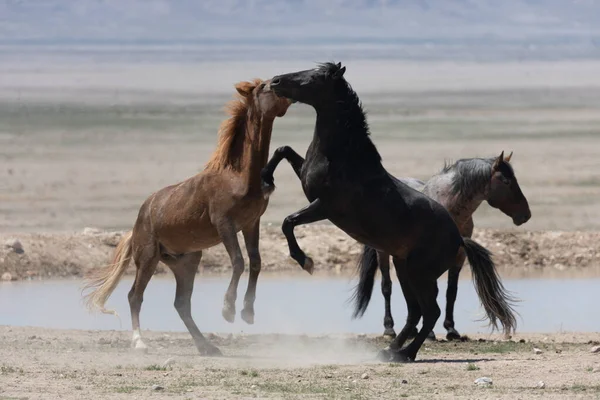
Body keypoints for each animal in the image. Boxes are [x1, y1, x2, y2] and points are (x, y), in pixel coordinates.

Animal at [82, 79, 292, 354]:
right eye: (267, 86)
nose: (291, 92)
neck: (239, 176)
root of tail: (137, 223)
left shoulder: (250, 223)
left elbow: (255, 262)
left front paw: (248, 313)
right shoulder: (224, 223)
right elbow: (238, 261)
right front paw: (228, 310)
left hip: (186, 263)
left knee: (181, 303)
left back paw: (206, 346)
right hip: (148, 257)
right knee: (135, 296)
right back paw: (140, 342)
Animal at [356, 152, 528, 340]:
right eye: (506, 181)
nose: (526, 214)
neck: (450, 209)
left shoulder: (460, 255)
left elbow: (451, 291)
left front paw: (451, 329)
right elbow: (433, 290)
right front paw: (430, 333)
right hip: (383, 253)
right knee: (387, 286)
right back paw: (389, 328)